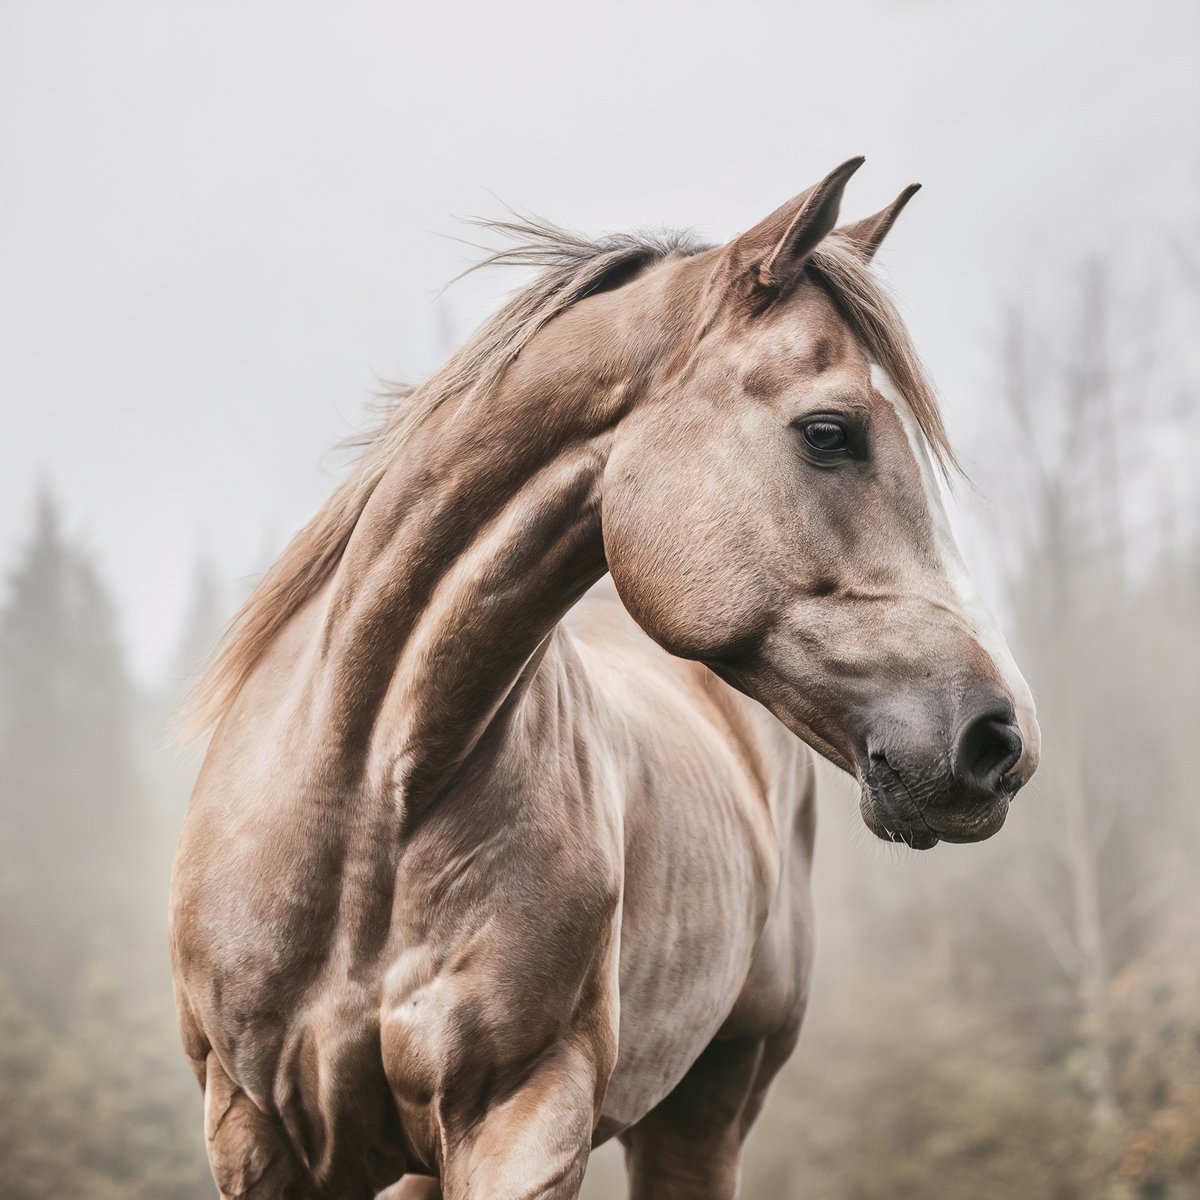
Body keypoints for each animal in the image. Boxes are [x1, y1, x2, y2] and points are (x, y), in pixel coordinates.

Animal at [169, 162, 1041, 1200]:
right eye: (829, 432)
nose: (1001, 738)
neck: (369, 796)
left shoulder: (525, 1113)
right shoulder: (251, 1129)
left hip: (710, 1104)